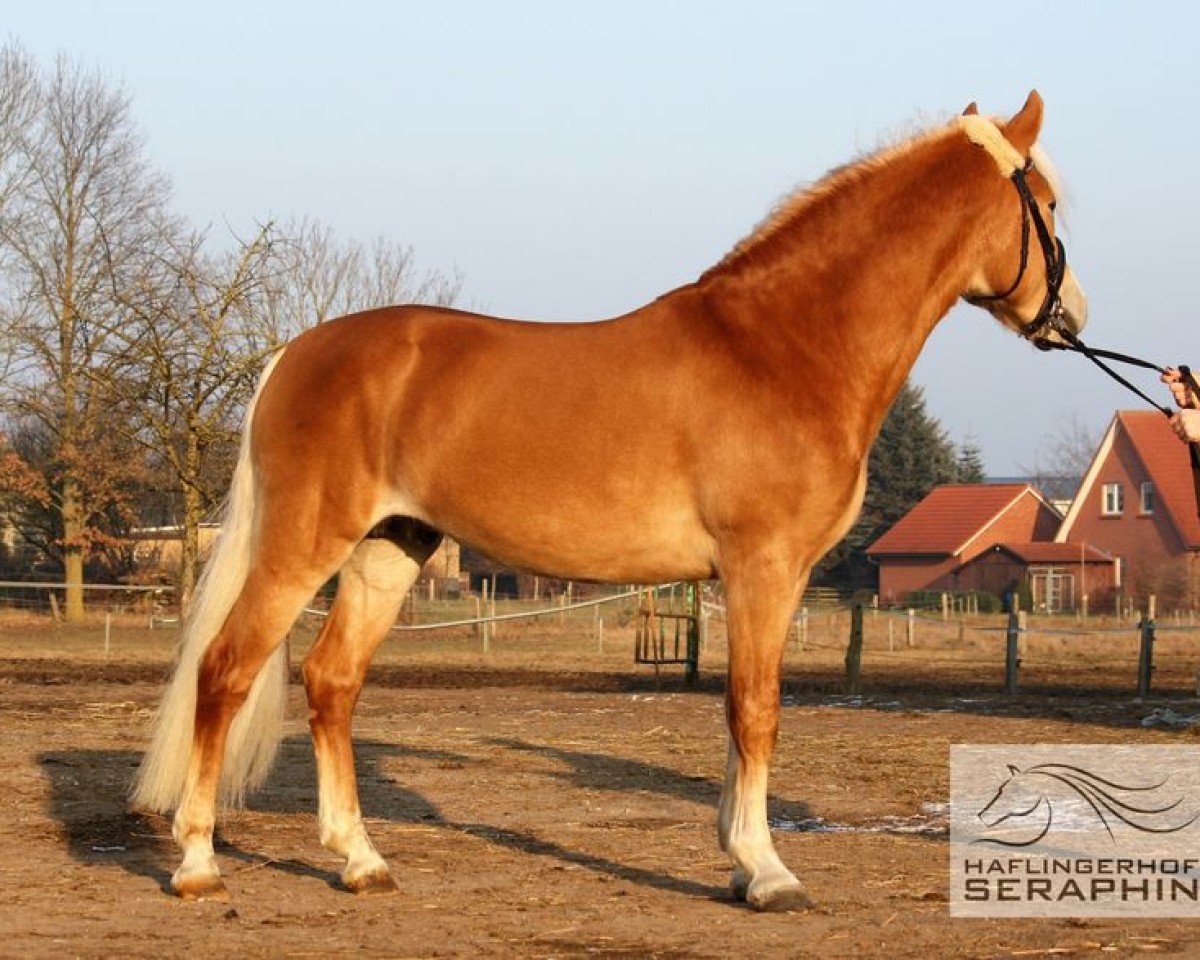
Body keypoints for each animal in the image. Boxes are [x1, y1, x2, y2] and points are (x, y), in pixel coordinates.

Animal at [132, 91, 1087, 912]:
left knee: (331, 681)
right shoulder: (763, 566)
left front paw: (739, 860)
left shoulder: (751, 578)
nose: (1069, 316)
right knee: (225, 669)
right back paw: (198, 864)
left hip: (388, 549)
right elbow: (757, 710)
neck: (780, 347)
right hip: (304, 545)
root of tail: (293, 355)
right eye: (1044, 201)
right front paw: (767, 871)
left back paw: (361, 860)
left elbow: (737, 712)